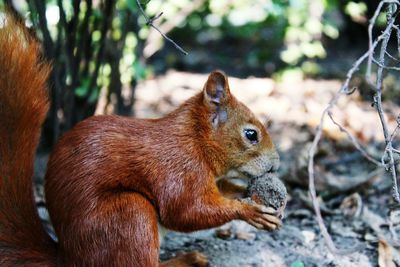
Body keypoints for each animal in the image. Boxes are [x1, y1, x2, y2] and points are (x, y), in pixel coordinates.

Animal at [0, 12, 282, 267]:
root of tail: (70, 259)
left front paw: (246, 193)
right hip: (130, 214)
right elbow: (186, 211)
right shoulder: (179, 170)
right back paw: (185, 260)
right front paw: (251, 211)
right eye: (251, 134)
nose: (277, 165)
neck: (196, 141)